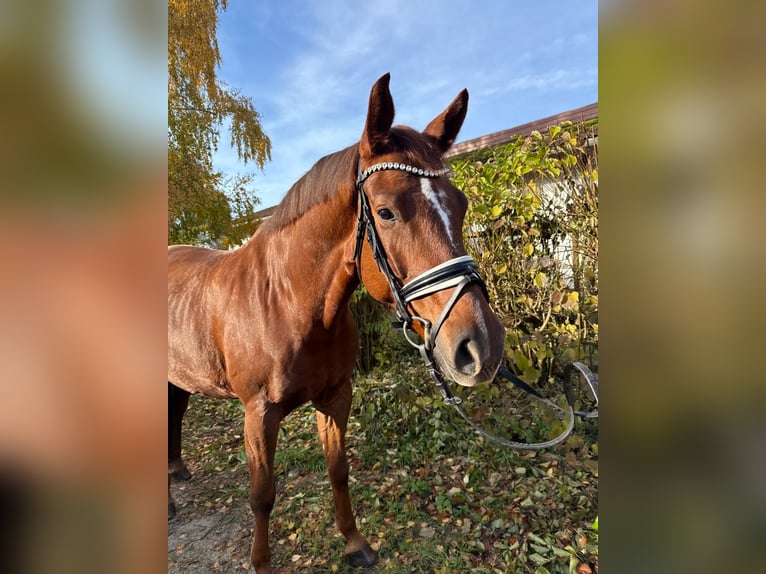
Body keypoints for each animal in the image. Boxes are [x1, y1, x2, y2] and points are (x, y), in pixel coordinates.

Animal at [168, 73, 505, 573]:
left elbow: (338, 470)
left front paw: (354, 541)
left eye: (460, 205)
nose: (481, 345)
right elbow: (262, 495)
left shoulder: (335, 396)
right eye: (385, 212)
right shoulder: (258, 414)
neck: (289, 304)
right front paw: (262, 563)